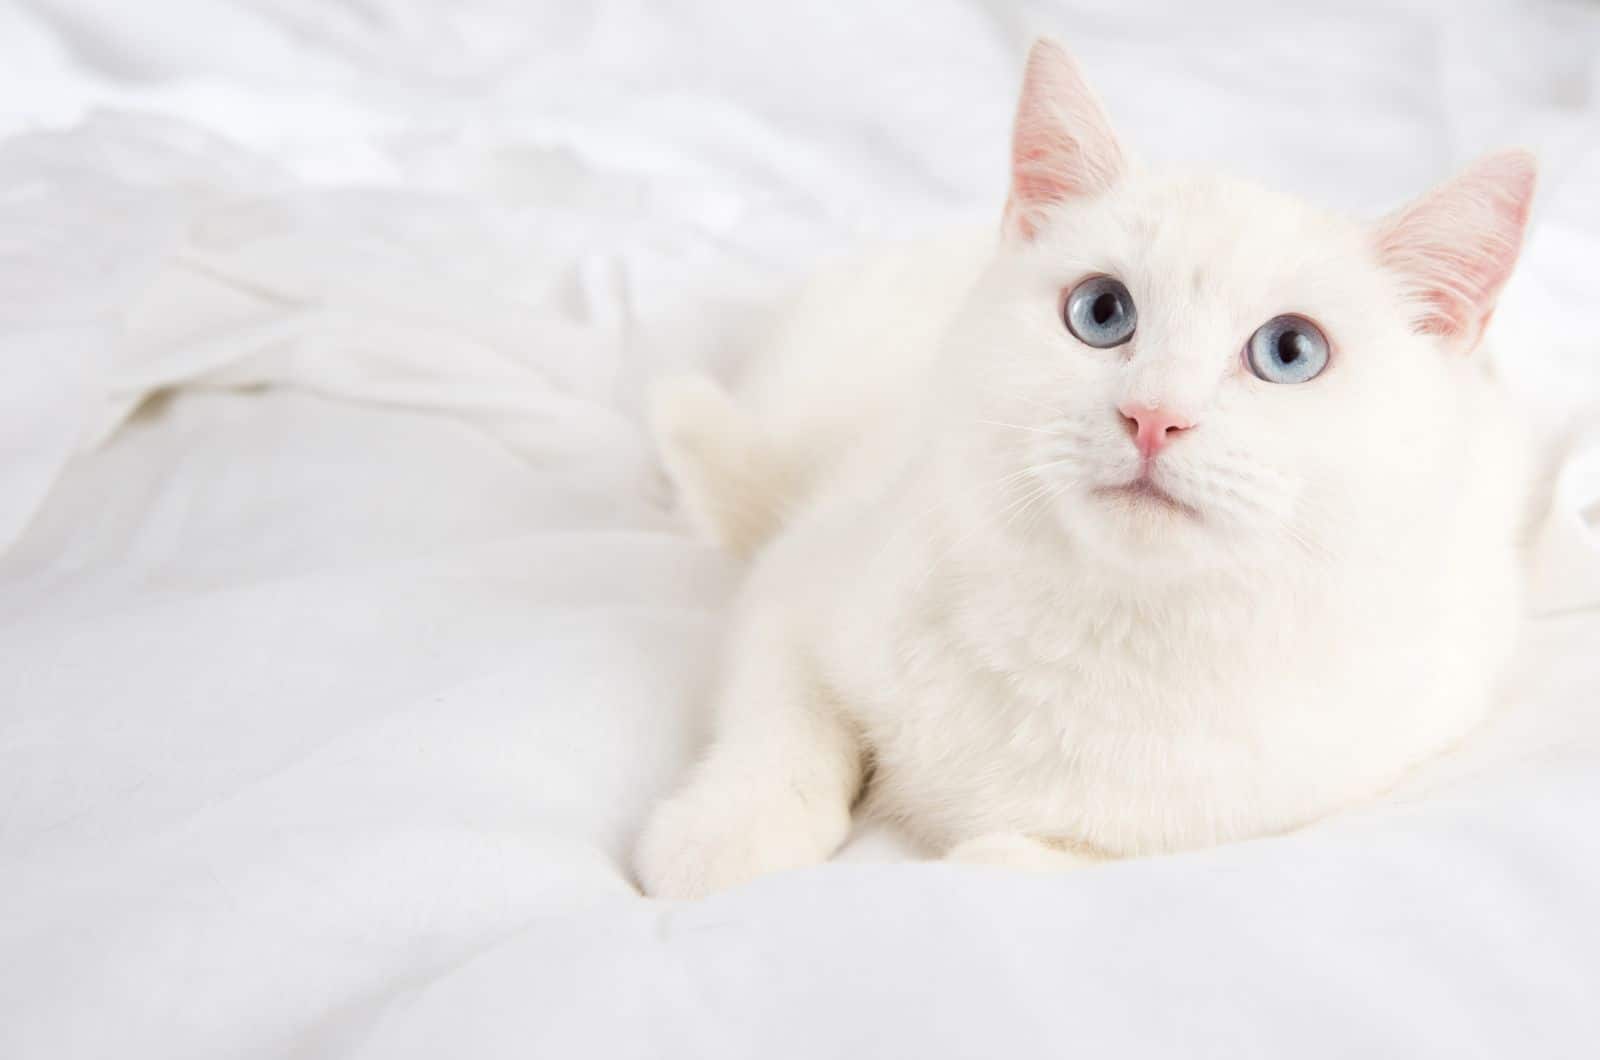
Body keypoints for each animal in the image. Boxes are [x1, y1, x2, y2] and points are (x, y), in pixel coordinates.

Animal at [633, 37, 1536, 896]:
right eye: (1103, 312)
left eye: (1291, 352)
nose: (1154, 416)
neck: (1110, 628)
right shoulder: (798, 583)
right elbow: (784, 725)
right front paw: (723, 836)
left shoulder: (1286, 804)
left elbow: (1033, 862)